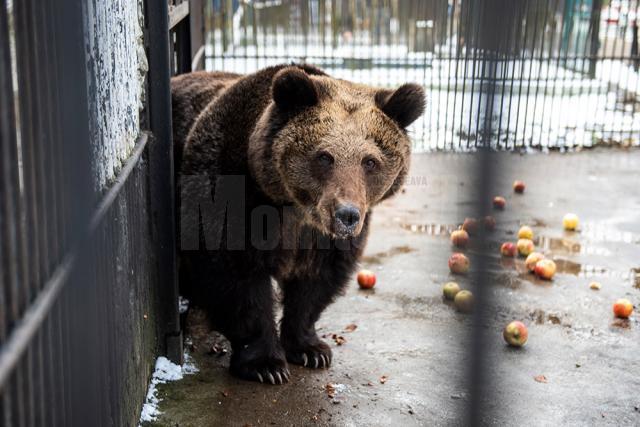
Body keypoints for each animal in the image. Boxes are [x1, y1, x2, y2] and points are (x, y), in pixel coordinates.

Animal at [172, 65, 428, 386]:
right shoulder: (227, 194)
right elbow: (235, 279)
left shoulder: (322, 238)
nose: (347, 214)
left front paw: (310, 349)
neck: (293, 207)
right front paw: (266, 364)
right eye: (324, 156)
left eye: (370, 161)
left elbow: (316, 282)